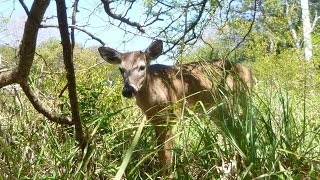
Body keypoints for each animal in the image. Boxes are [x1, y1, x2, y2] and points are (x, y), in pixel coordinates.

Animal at [97, 39, 252, 177]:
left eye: (142, 67)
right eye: (121, 69)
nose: (128, 90)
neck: (153, 97)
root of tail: (246, 69)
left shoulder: (173, 114)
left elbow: (168, 150)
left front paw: (169, 175)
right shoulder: (154, 119)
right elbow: (160, 150)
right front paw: (161, 174)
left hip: (242, 96)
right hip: (216, 109)